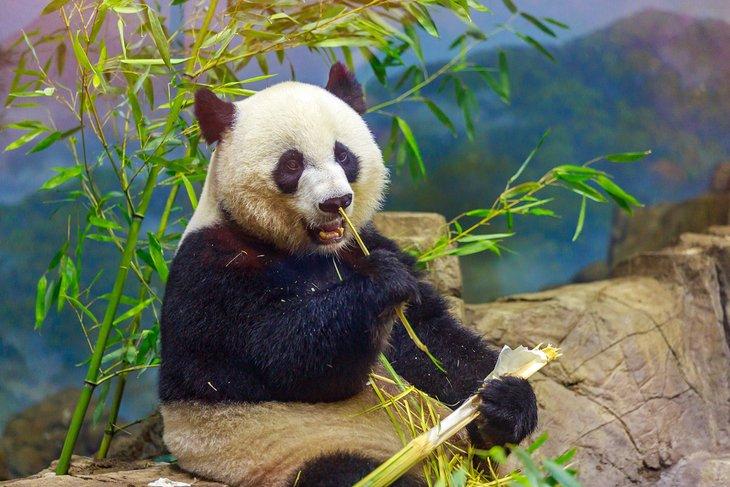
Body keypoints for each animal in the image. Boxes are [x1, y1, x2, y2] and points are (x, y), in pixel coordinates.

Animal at [159, 63, 538, 487]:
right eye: (291, 164)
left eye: (343, 155)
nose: (335, 202)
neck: (308, 251)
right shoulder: (213, 271)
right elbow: (285, 359)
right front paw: (380, 285)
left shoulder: (364, 242)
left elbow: (429, 341)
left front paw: (508, 402)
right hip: (294, 453)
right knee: (345, 472)